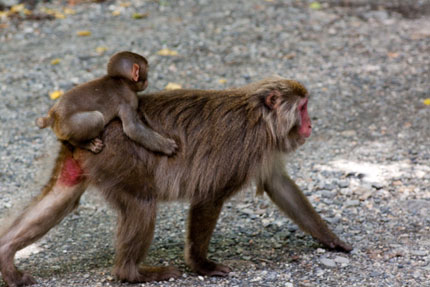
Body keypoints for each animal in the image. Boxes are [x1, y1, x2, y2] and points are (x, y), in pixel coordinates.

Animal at [0, 77, 352, 286]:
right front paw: (202, 265)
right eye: (303, 108)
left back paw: (6, 257)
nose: (310, 124)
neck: (261, 118)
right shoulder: (245, 147)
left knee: (62, 196)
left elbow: (279, 185)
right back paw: (133, 273)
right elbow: (209, 197)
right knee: (142, 205)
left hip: (84, 157)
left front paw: (331, 239)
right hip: (119, 159)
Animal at [36, 51, 177, 155]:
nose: (147, 81)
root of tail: (53, 116)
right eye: (146, 70)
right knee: (96, 118)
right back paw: (85, 144)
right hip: (70, 125)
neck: (122, 81)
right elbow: (132, 128)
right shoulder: (127, 101)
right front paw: (166, 145)